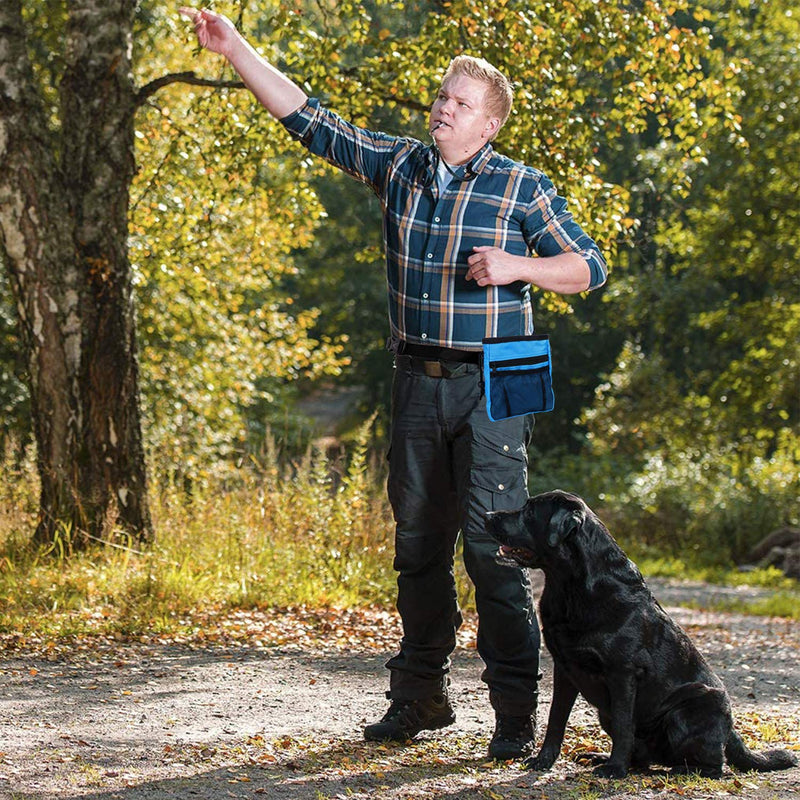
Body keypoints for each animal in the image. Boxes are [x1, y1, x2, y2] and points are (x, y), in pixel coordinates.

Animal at [484, 490, 796, 780]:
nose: (487, 515)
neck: (570, 587)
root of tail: (731, 731)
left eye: (529, 511)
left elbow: (624, 725)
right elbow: (556, 720)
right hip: (608, 712)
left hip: (690, 709)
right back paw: (602, 757)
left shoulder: (622, 673)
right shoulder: (564, 668)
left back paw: (672, 770)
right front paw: (543, 761)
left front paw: (615, 769)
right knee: (647, 757)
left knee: (716, 767)